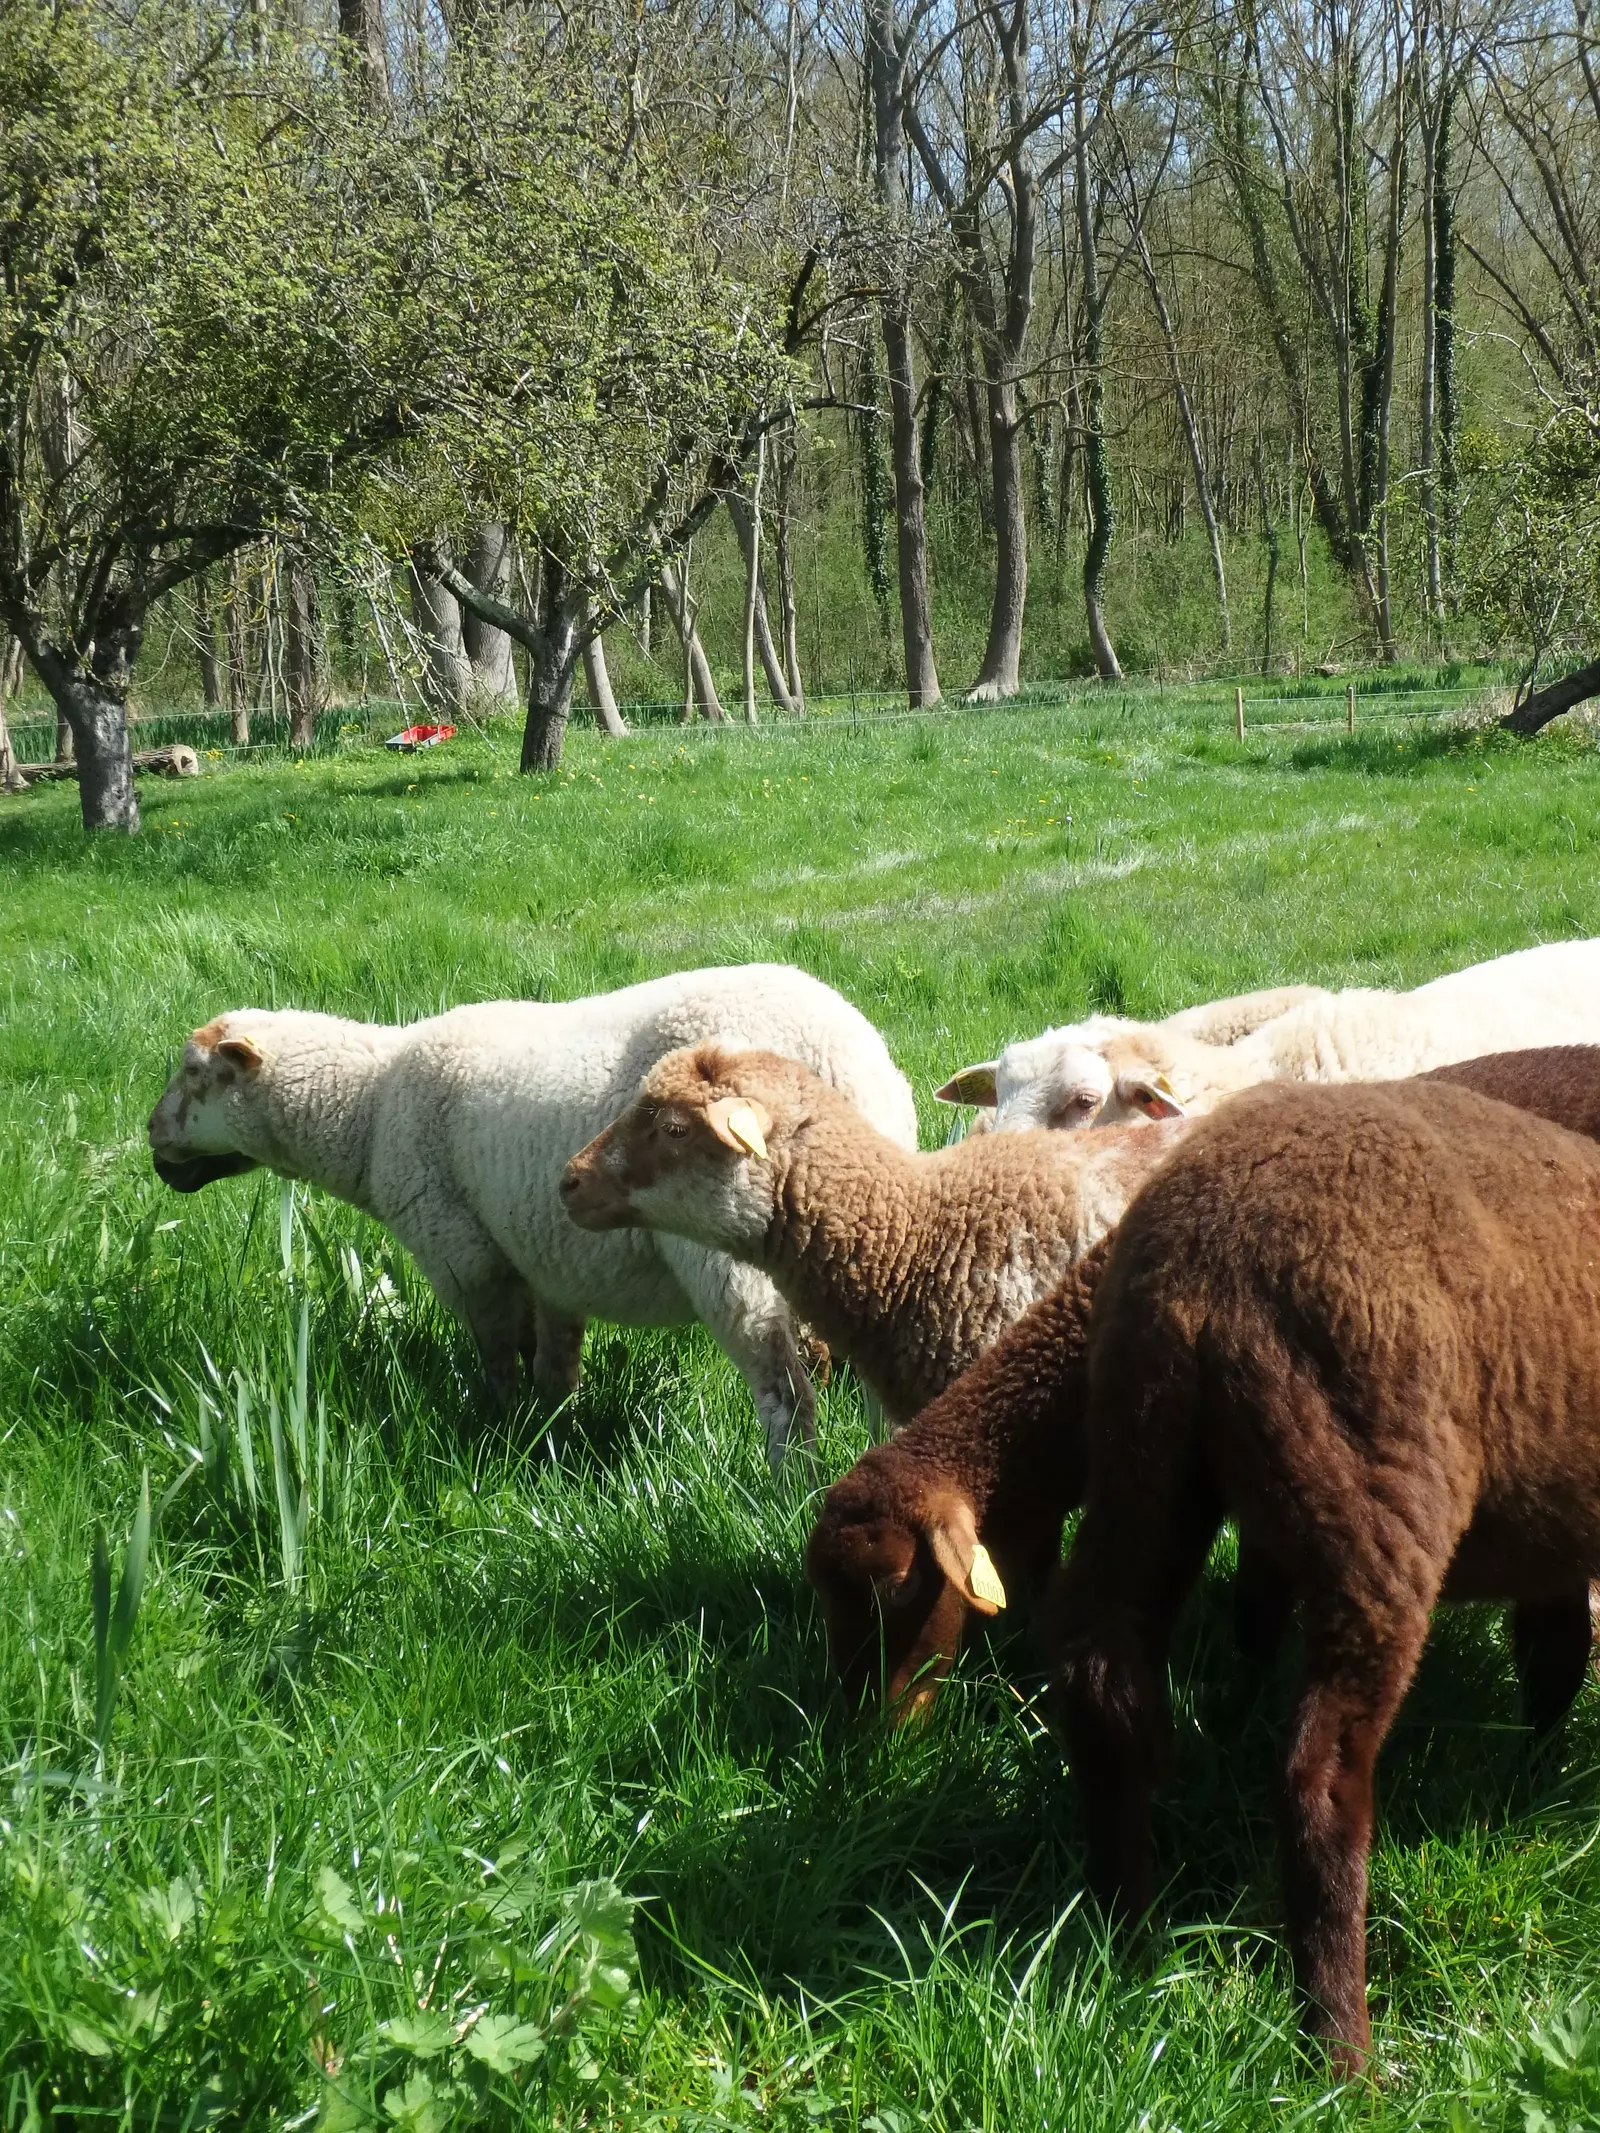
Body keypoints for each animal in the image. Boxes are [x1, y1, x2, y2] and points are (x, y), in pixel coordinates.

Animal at [150, 968, 925, 1467]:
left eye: (193, 1074)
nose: (152, 1139)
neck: (367, 1110)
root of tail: (846, 1062)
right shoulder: (546, 1256)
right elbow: (554, 1366)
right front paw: (550, 1439)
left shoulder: (464, 1254)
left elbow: (498, 1356)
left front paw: (502, 1430)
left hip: (727, 1253)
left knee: (784, 1392)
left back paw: (785, 1489)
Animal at [1053, 1075, 1600, 2073]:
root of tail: (1203, 1261)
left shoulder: (1556, 1530)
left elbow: (1553, 1653)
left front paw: (1531, 1775)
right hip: (1376, 1492)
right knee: (1320, 1775)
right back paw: (1342, 2050)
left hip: (1143, 1451)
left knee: (1103, 1672)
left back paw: (1126, 1932)